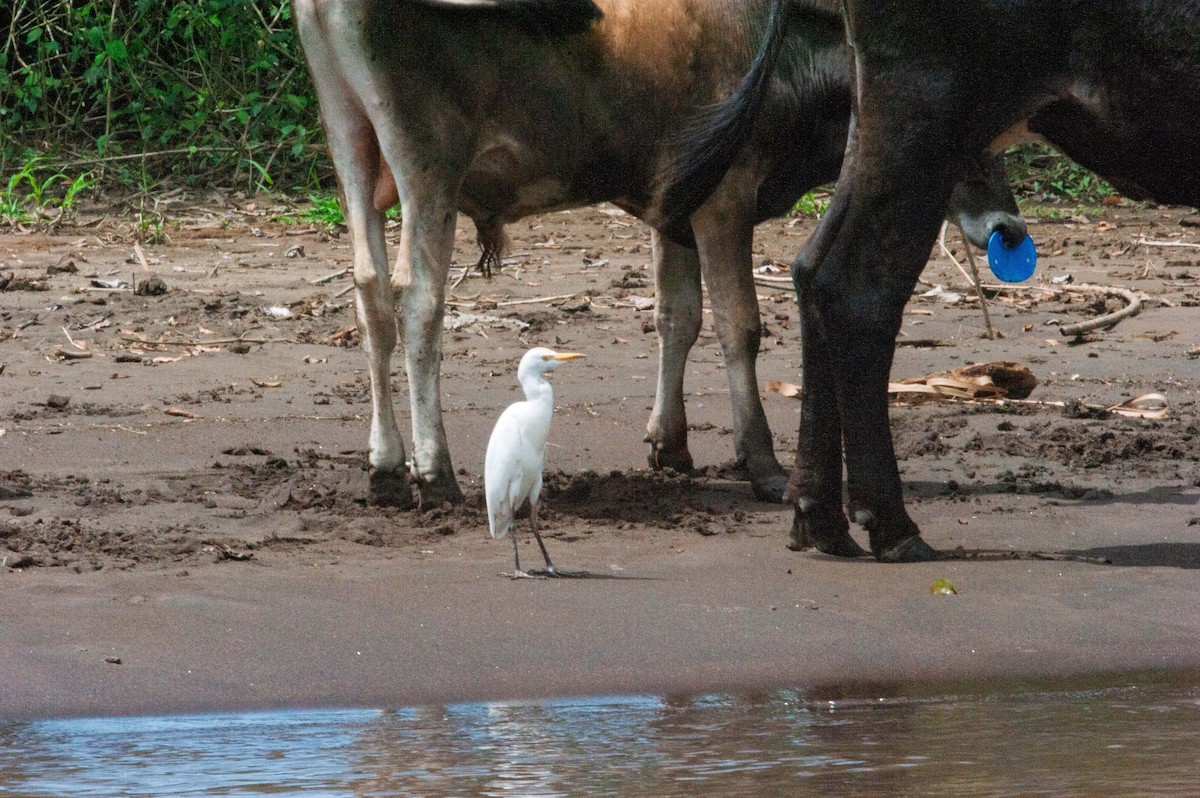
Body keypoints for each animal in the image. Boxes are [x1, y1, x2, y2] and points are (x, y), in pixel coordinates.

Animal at [293, 0, 1026, 510]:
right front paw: (762, 464)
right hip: (429, 165)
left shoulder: (674, 210)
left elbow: (679, 317)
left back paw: (387, 467)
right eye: (965, 137)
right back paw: (435, 469)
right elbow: (738, 324)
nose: (1009, 229)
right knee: (418, 299)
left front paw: (669, 443)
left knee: (369, 290)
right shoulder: (724, 199)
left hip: (351, 144)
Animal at [662, 0, 1200, 561]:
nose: (1009, 227)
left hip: (873, 124)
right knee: (856, 288)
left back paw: (819, 520)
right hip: (923, 118)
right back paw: (891, 525)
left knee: (811, 270)